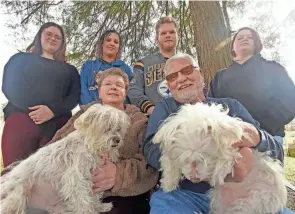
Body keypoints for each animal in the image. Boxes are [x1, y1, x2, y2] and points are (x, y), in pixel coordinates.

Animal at [0, 103, 131, 212]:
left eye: (118, 128)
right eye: (107, 128)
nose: (117, 140)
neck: (90, 146)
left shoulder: (91, 178)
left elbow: (91, 197)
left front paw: (98, 206)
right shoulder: (76, 179)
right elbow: (83, 201)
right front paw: (90, 211)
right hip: (17, 195)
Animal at [154, 102, 288, 214]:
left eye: (206, 156)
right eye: (185, 158)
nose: (194, 177)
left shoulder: (234, 146)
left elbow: (226, 157)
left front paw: (216, 175)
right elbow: (168, 162)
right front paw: (168, 184)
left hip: (251, 200)